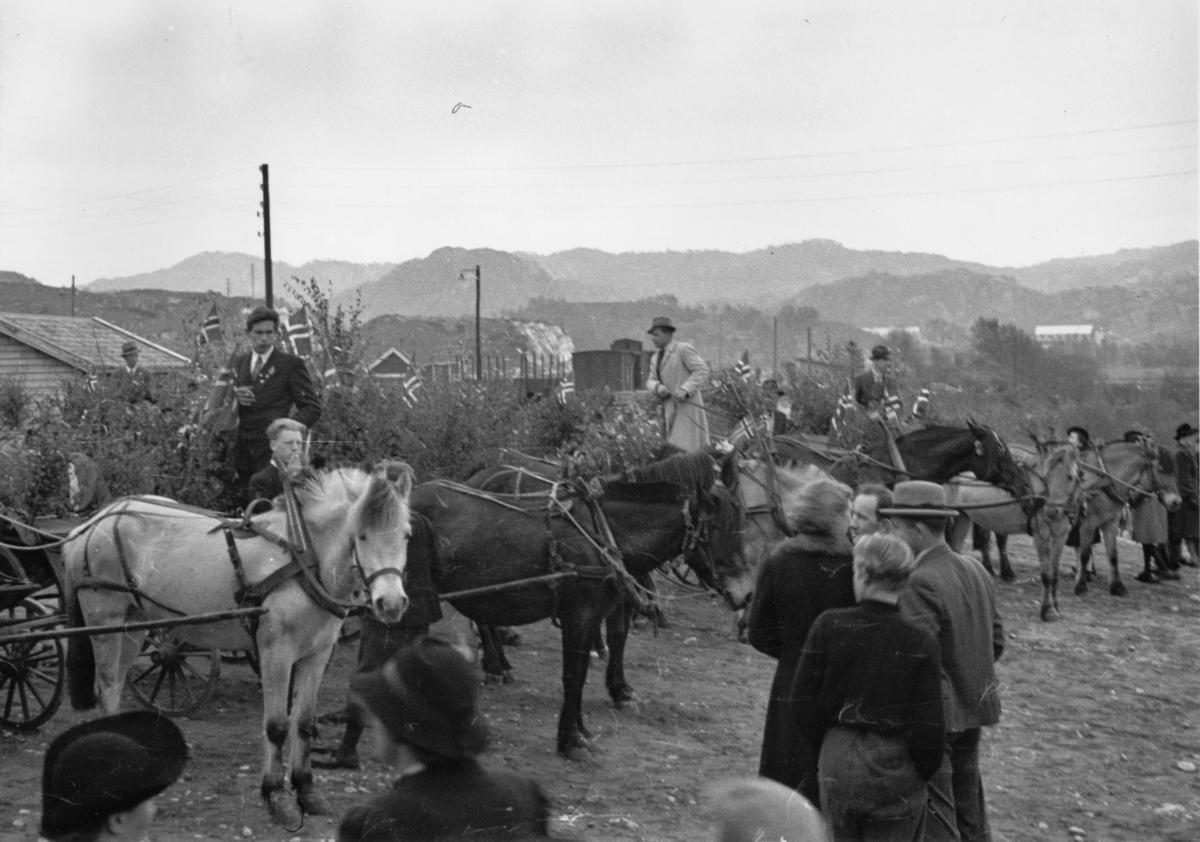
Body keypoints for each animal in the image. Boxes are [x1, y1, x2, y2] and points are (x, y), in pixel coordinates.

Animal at [62, 467, 417, 830]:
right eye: (361, 536)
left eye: (406, 535)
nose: (391, 603)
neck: (306, 558)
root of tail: (90, 525)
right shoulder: (276, 651)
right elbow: (277, 726)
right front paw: (276, 796)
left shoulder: (316, 654)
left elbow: (303, 722)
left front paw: (306, 790)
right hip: (105, 620)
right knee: (107, 687)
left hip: (133, 626)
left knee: (118, 683)